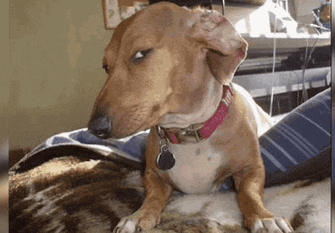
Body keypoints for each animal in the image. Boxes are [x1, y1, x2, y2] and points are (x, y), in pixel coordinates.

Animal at [88, 2, 294, 233]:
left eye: (140, 54)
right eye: (106, 66)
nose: (95, 127)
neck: (188, 130)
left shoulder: (251, 168)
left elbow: (248, 193)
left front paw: (263, 217)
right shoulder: (152, 174)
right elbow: (152, 196)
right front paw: (139, 215)